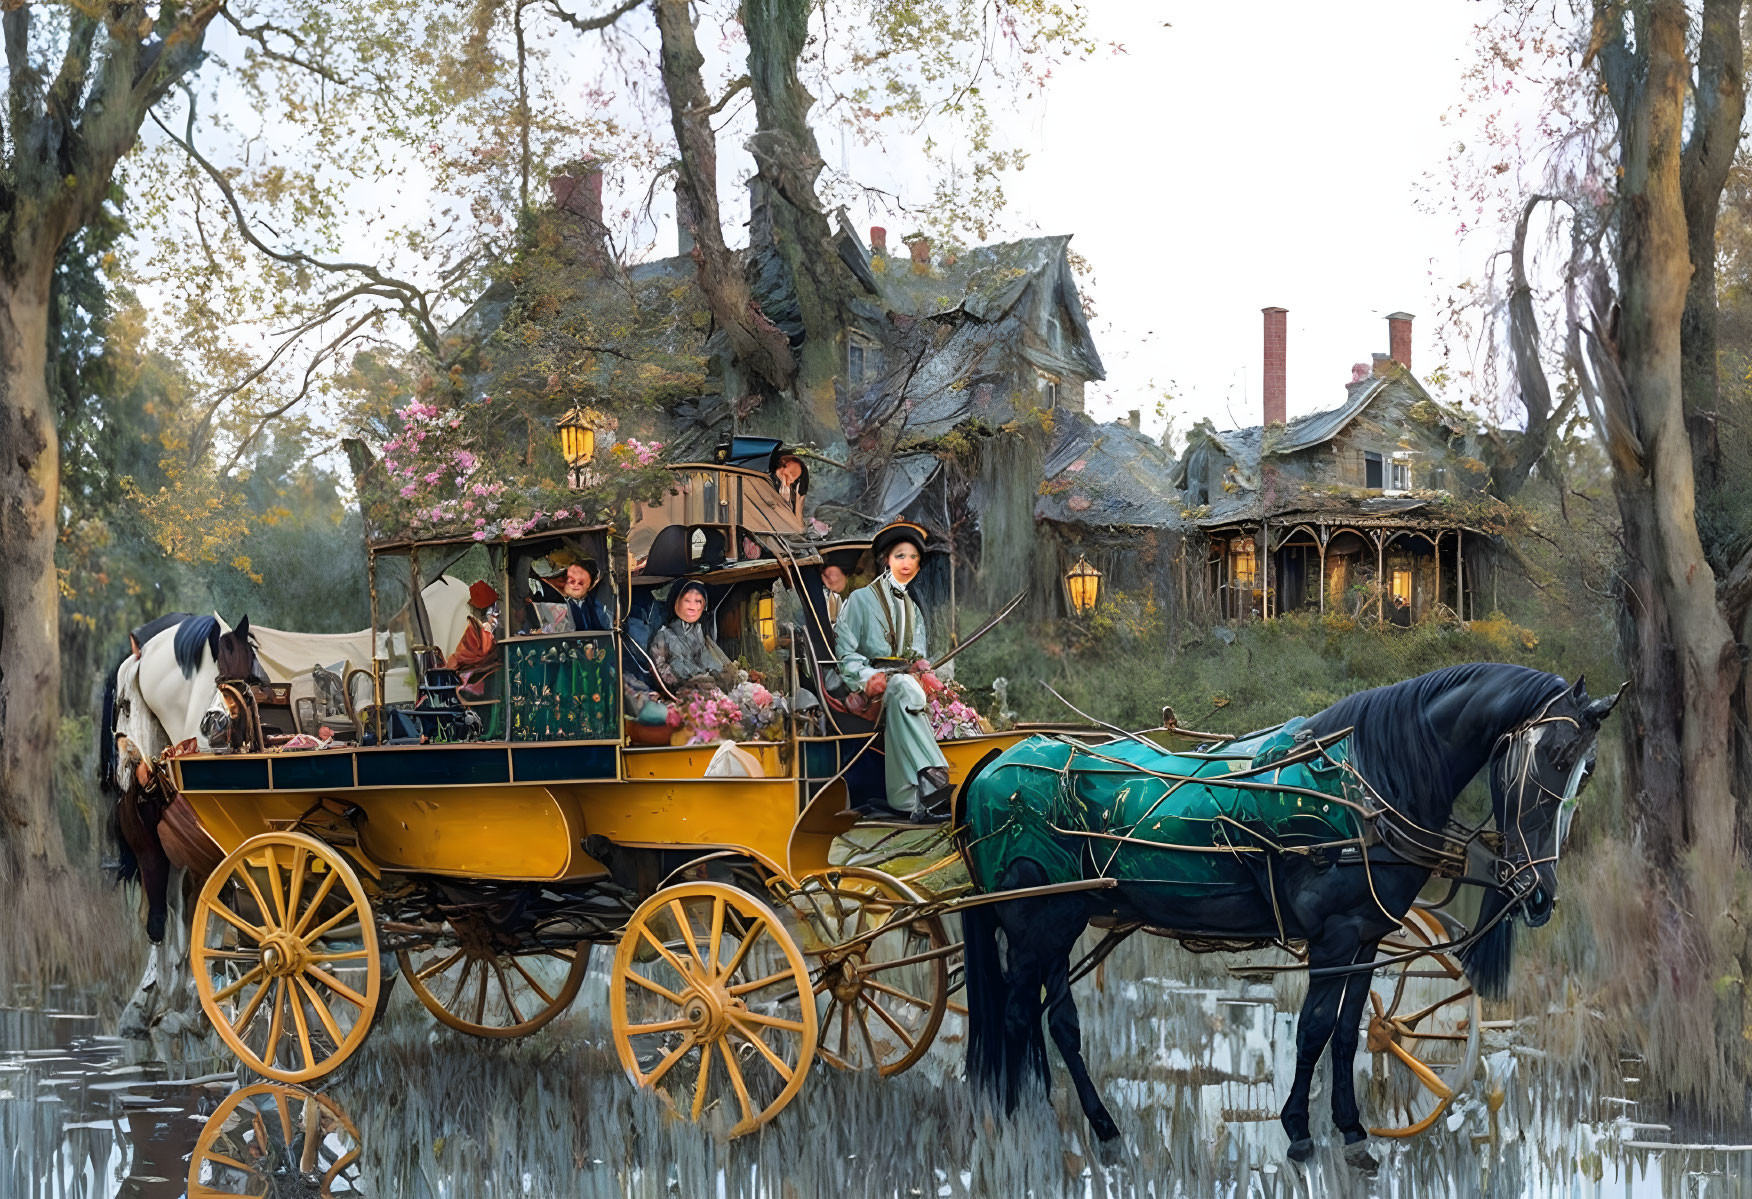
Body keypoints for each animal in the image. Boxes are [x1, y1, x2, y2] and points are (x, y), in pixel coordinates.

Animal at [967, 659, 1618, 1163]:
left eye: (1586, 769)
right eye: (1556, 754)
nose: (1540, 893)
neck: (1366, 787)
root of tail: (994, 764)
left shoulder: (1366, 940)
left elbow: (1351, 1034)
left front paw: (1352, 1131)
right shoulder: (1333, 938)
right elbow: (1313, 1030)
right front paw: (1300, 1132)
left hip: (1058, 923)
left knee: (1058, 1024)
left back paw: (1090, 1124)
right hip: (1037, 925)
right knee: (1020, 1015)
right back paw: (1021, 1123)